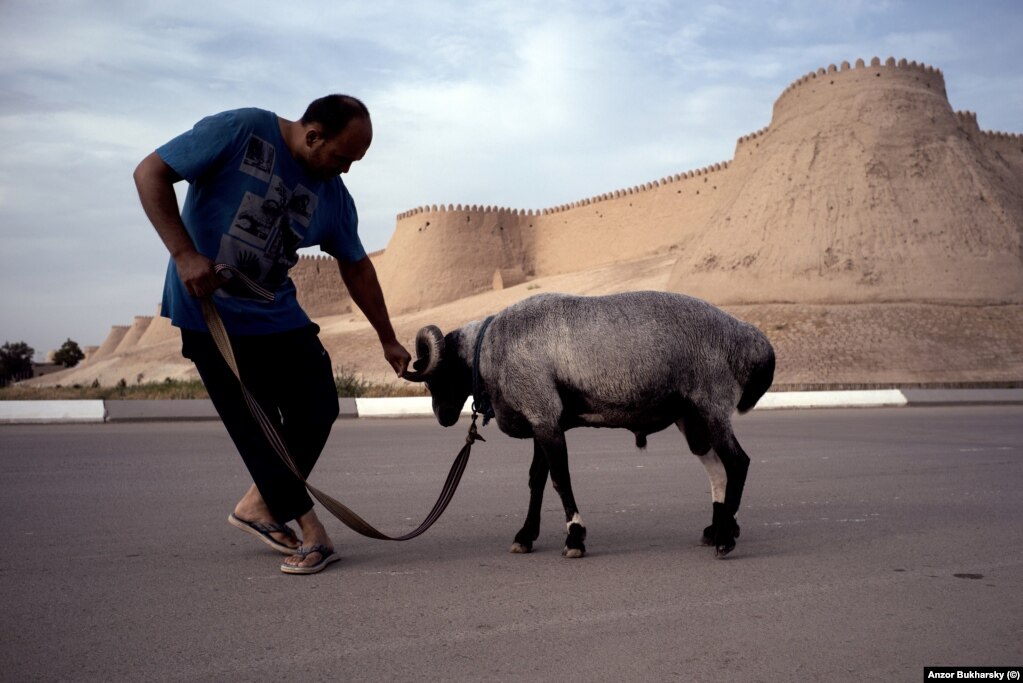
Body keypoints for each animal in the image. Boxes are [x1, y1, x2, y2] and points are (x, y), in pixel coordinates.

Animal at [398, 290, 773, 556]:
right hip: (692, 417)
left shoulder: (545, 418)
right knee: (717, 469)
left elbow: (560, 479)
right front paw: (526, 536)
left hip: (712, 406)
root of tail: (752, 340)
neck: (489, 348)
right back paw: (718, 529)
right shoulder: (543, 421)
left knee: (737, 462)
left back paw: (725, 539)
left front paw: (575, 538)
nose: (442, 416)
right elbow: (536, 480)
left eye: (437, 376)